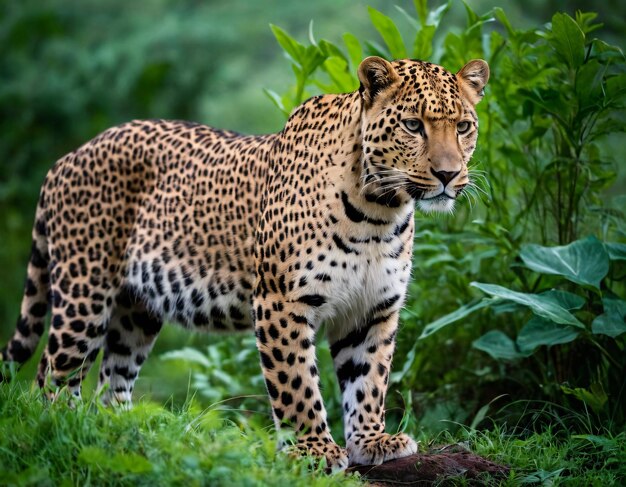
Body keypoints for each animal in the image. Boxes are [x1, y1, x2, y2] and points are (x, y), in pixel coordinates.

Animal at [0, 57, 488, 472]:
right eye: (412, 125)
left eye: (463, 127)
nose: (448, 175)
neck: (379, 212)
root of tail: (65, 159)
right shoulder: (282, 301)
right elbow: (297, 383)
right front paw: (313, 450)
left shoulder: (372, 309)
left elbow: (368, 378)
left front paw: (371, 441)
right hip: (84, 294)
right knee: (50, 375)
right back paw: (61, 429)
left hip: (136, 311)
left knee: (111, 381)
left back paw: (121, 436)